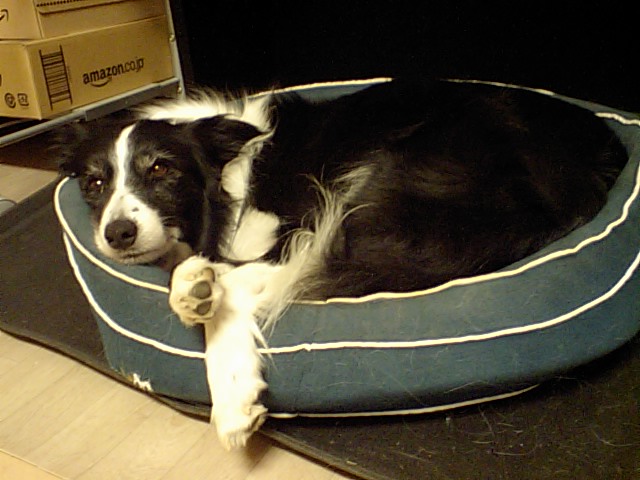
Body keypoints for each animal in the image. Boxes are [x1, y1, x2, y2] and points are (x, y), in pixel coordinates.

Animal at [57, 79, 627, 448]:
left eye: (161, 169)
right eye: (94, 183)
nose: (118, 233)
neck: (226, 174)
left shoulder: (297, 226)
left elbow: (233, 280)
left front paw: (234, 393)